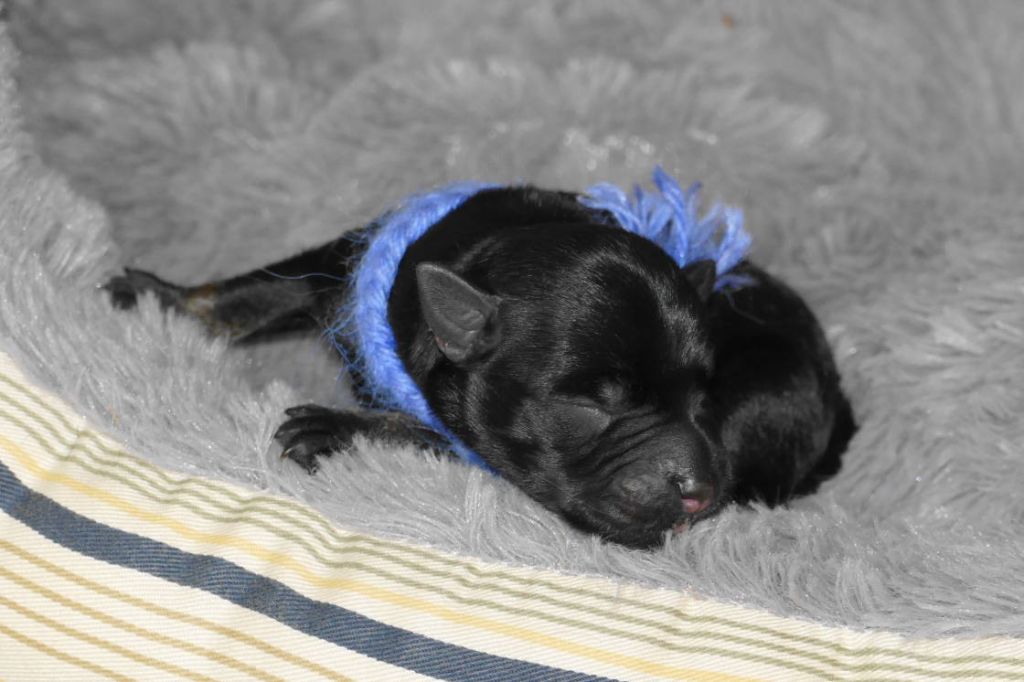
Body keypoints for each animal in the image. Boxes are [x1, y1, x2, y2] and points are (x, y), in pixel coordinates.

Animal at [107, 181, 855, 549]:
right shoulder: (344, 263)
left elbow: (419, 428)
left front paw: (333, 426)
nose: (699, 490)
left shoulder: (473, 444)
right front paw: (162, 297)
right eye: (590, 406)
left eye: (705, 403)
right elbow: (255, 289)